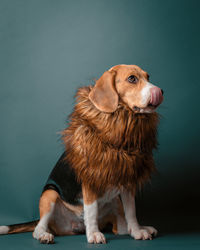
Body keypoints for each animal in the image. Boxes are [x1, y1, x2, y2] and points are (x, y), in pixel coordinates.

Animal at [0, 64, 164, 244]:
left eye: (148, 77)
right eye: (132, 79)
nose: (160, 91)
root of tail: (75, 225)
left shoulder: (127, 182)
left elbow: (132, 213)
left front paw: (137, 231)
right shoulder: (89, 181)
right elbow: (91, 211)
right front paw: (93, 234)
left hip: (115, 201)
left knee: (121, 228)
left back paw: (142, 228)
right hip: (49, 195)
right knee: (38, 228)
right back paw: (44, 235)